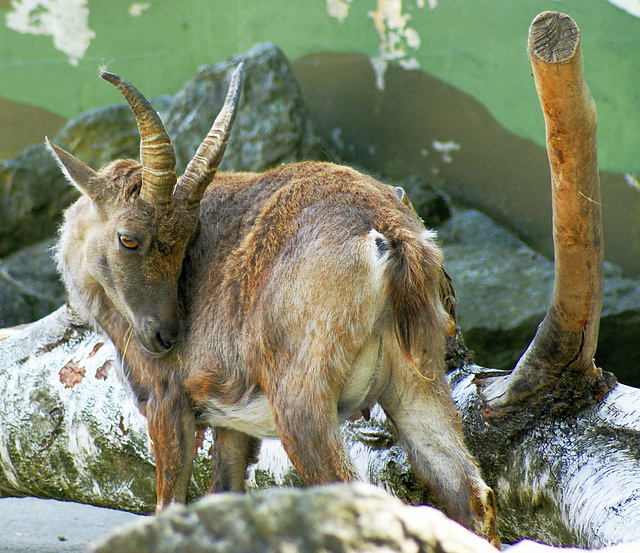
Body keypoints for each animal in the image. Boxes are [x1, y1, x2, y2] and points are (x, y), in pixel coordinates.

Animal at [50, 62, 500, 540]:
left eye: (128, 238)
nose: (165, 335)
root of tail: (388, 233)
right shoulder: (230, 422)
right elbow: (223, 495)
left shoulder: (166, 401)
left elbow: (169, 504)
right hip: (419, 376)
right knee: (471, 494)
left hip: (301, 401)